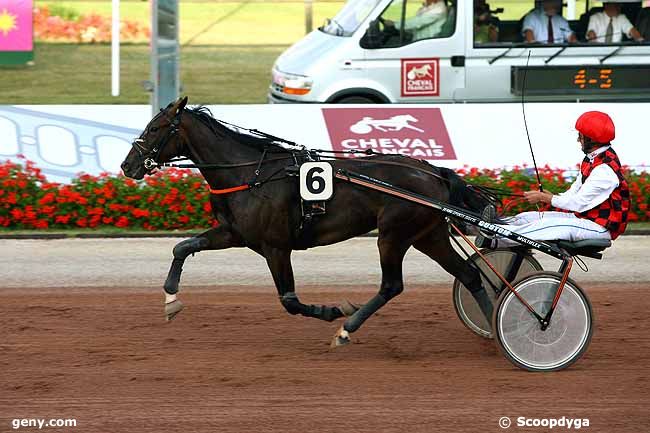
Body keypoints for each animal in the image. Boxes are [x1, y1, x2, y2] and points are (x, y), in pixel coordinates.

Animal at [121, 96, 494, 346]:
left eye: (155, 128)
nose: (128, 165)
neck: (250, 173)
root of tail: (433, 172)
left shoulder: (275, 246)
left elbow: (289, 300)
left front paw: (333, 311)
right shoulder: (235, 233)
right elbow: (183, 247)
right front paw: (171, 300)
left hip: (393, 235)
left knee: (392, 285)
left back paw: (347, 328)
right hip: (427, 235)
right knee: (469, 274)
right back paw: (494, 327)